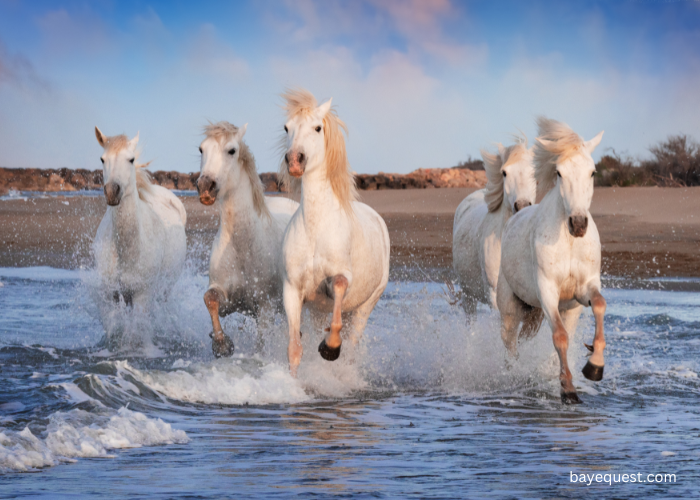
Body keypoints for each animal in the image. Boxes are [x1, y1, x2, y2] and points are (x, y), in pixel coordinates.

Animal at [93, 129, 187, 314]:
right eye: (102, 159)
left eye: (131, 159)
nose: (112, 191)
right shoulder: (111, 296)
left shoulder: (142, 297)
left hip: (165, 290)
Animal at [196, 121, 300, 358]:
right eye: (201, 149)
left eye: (232, 150)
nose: (206, 187)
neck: (243, 245)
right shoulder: (229, 301)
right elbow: (210, 299)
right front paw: (222, 345)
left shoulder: (265, 309)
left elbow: (261, 344)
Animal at [278, 89, 392, 376]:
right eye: (287, 127)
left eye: (317, 128)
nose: (294, 161)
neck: (316, 229)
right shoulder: (292, 290)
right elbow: (294, 348)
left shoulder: (341, 278)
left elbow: (339, 289)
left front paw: (330, 348)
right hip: (318, 310)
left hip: (365, 307)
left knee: (352, 345)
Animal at [498, 117, 608, 402]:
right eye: (559, 172)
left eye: (593, 172)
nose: (578, 224)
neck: (569, 243)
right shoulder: (548, 291)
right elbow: (559, 337)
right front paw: (568, 390)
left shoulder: (585, 288)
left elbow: (599, 305)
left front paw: (594, 367)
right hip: (511, 309)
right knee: (510, 345)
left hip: (557, 311)